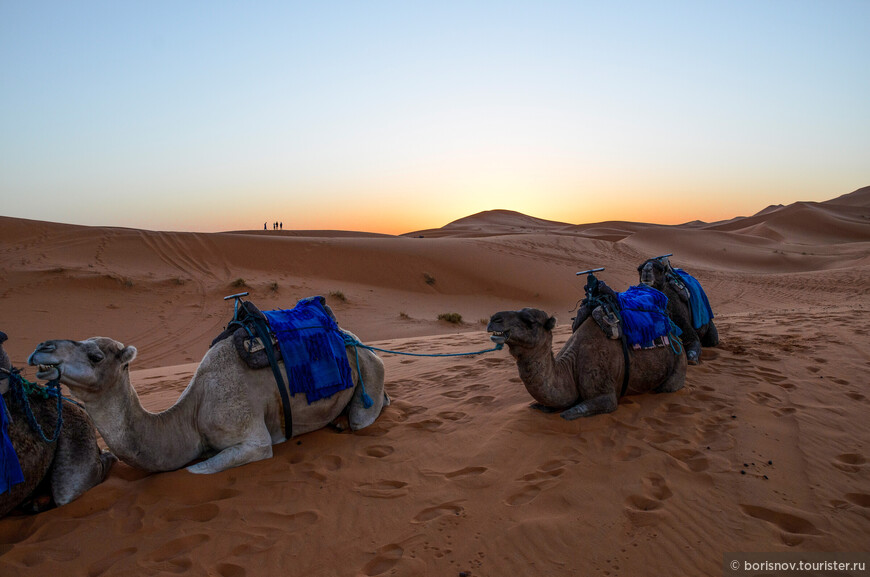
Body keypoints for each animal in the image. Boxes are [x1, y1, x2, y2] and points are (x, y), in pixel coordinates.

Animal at [27, 326, 388, 474]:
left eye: (96, 356)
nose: (41, 347)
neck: (191, 415)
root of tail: (356, 340)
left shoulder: (253, 439)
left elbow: (195, 470)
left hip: (369, 368)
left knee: (366, 413)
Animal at [488, 306, 684, 418]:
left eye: (529, 320)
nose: (494, 319)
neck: (570, 366)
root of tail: (677, 337)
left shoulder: (605, 395)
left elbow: (567, 414)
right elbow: (541, 405)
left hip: (678, 362)